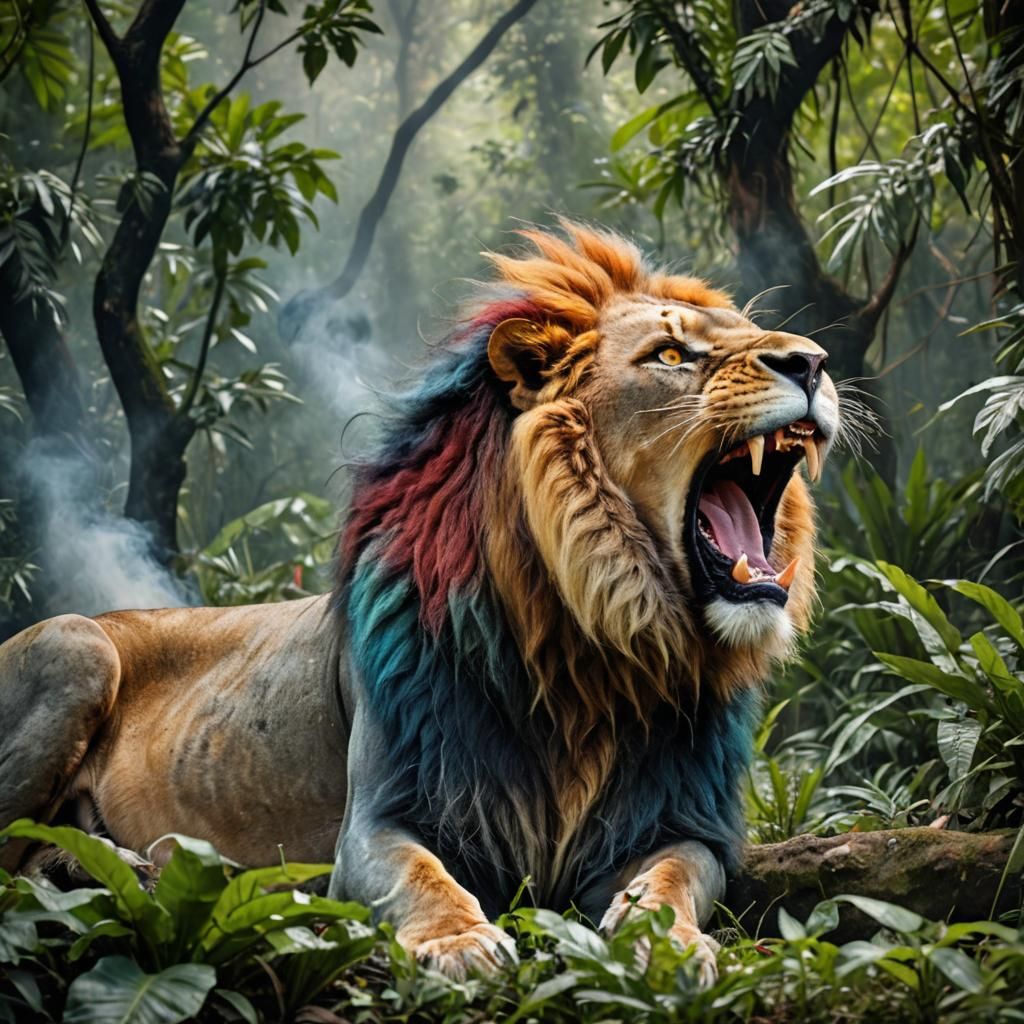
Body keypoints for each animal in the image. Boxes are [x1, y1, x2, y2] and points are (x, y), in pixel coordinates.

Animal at [0, 223, 839, 982]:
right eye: (670, 354)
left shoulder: (681, 820)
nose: (812, 362)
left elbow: (669, 881)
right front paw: (460, 943)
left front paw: (668, 945)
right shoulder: (374, 823)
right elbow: (424, 877)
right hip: (77, 648)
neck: (591, 650)